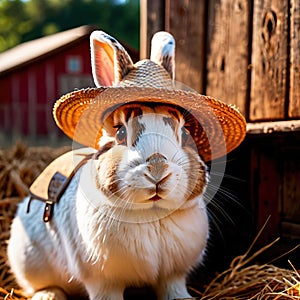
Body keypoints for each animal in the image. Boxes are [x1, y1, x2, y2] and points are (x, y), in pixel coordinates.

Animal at [7, 29, 245, 300]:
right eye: (120, 133)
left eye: (185, 135)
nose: (157, 171)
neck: (152, 215)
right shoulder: (103, 282)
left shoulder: (173, 275)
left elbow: (173, 287)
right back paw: (49, 294)